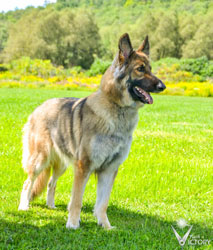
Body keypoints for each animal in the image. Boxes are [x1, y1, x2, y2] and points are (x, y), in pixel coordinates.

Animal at [18, 33, 166, 229]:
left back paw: (51, 205)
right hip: (40, 161)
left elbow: (102, 203)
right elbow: (77, 200)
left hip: (62, 165)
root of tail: (39, 107)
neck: (117, 108)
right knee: (28, 183)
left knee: (51, 183)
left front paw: (105, 226)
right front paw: (73, 224)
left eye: (150, 68)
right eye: (140, 69)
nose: (162, 86)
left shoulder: (109, 170)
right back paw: (24, 206)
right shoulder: (84, 167)